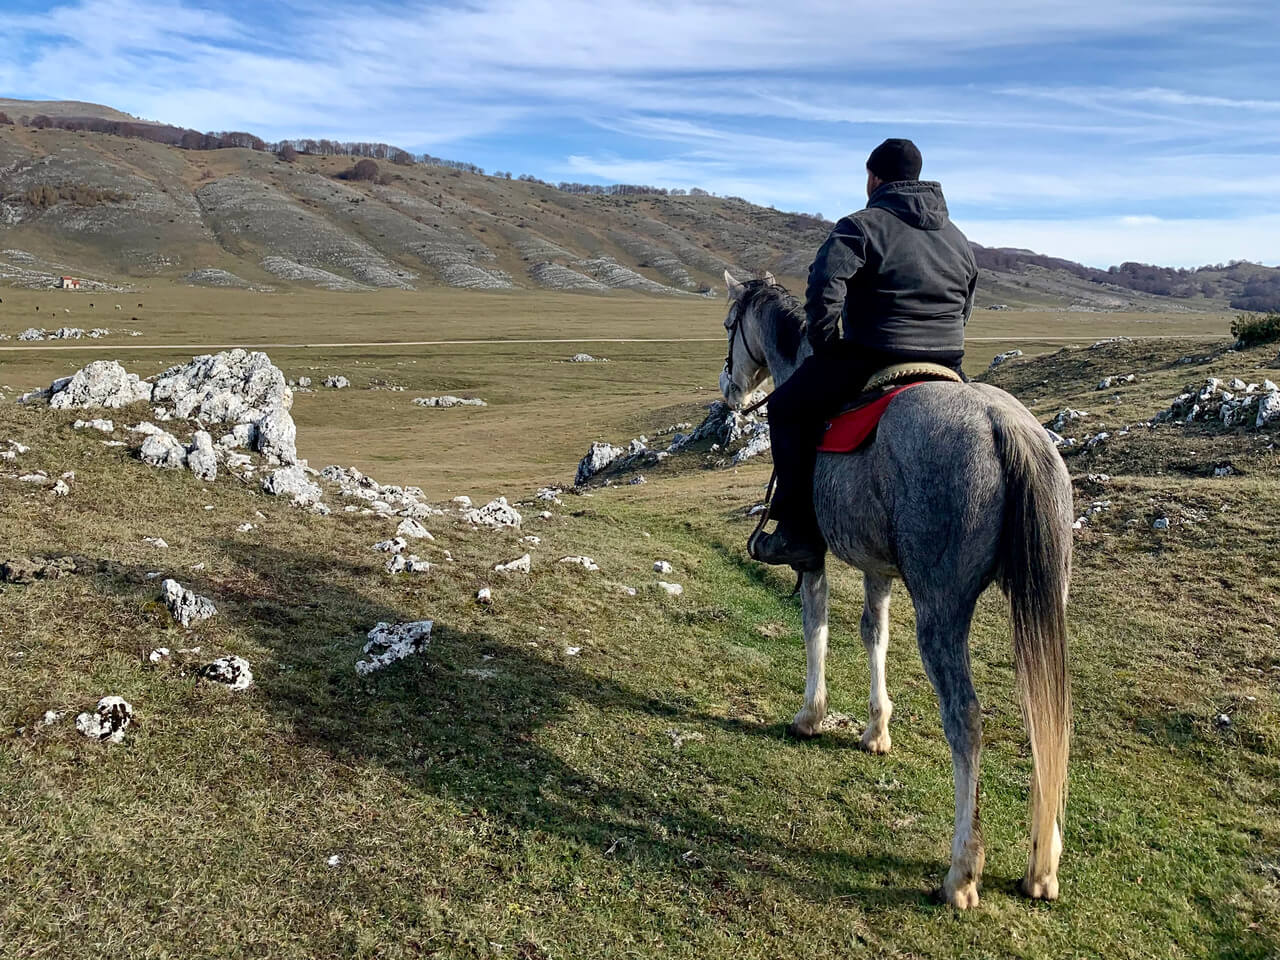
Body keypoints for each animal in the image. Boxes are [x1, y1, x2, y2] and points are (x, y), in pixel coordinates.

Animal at [718, 271, 1072, 909]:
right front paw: (876, 729)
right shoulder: (877, 567)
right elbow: (873, 634)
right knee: (1047, 715)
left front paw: (810, 714)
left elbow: (816, 625)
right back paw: (1042, 866)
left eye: (730, 324)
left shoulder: (814, 555)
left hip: (942, 610)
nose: (728, 392)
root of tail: (1003, 427)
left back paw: (961, 873)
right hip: (1045, 601)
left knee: (966, 718)